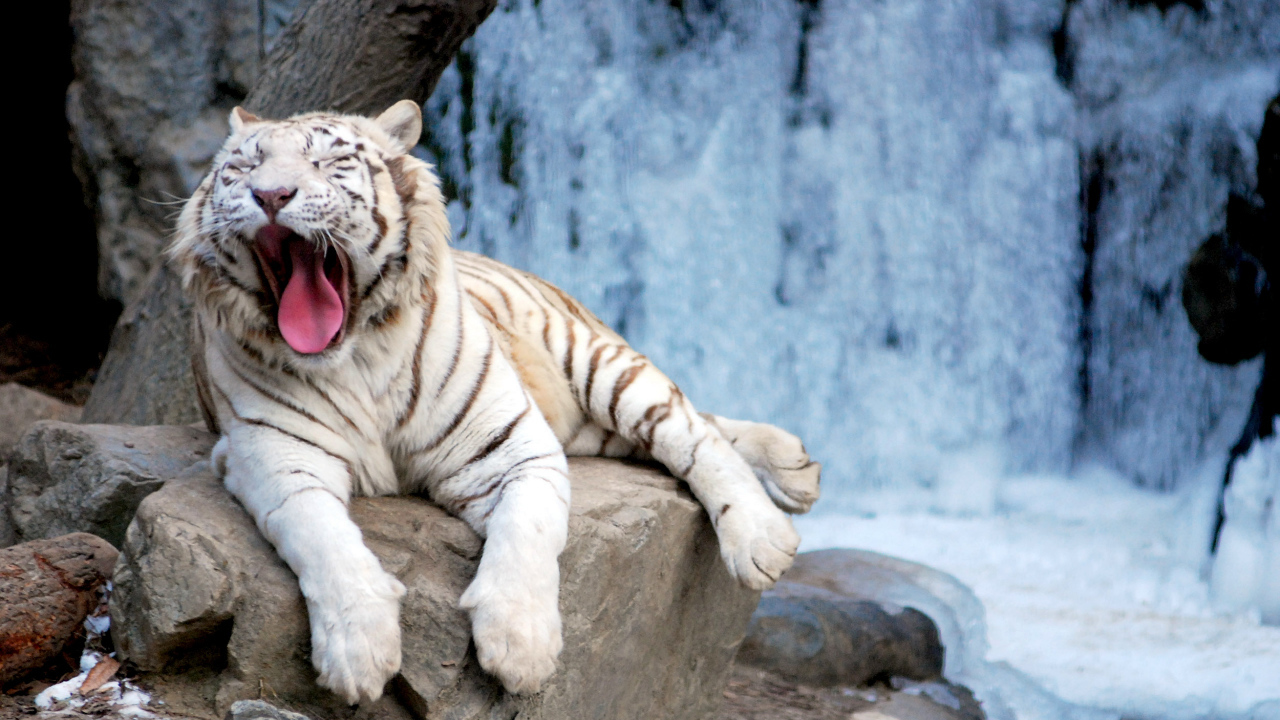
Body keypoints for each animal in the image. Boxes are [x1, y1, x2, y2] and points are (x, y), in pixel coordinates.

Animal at [168, 99, 821, 704]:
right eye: (244, 166)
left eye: (326, 161)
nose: (270, 194)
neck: (354, 356)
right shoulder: (275, 457)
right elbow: (322, 539)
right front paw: (359, 653)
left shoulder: (512, 445)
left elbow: (528, 531)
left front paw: (520, 648)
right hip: (589, 427)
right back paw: (796, 465)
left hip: (595, 362)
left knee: (690, 429)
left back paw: (765, 532)